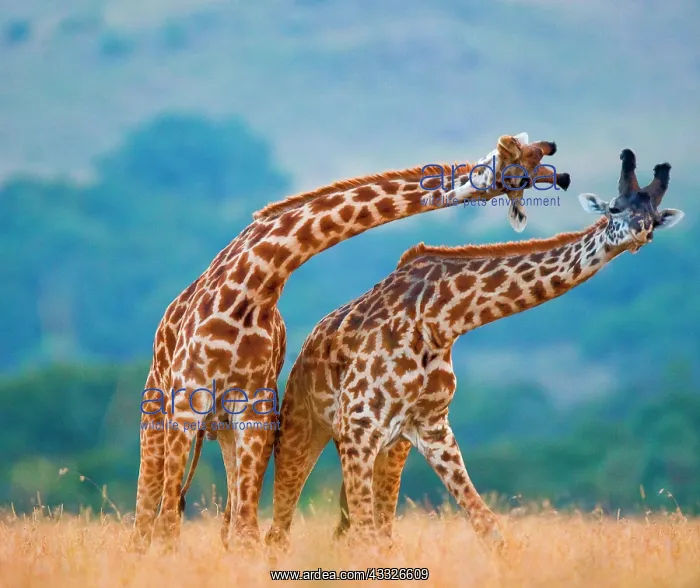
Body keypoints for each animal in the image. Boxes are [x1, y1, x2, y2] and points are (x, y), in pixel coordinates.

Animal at [128, 133, 570, 554]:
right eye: (523, 166)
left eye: (541, 159)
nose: (562, 177)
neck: (255, 284)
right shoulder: (187, 402)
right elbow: (169, 524)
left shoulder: (253, 410)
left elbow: (246, 529)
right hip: (158, 410)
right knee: (147, 514)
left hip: (223, 429)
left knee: (223, 518)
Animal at [263, 149, 684, 552]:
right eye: (614, 209)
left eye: (654, 218)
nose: (639, 233)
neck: (441, 320)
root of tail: (307, 346)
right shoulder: (358, 425)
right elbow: (367, 535)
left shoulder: (431, 427)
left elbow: (488, 527)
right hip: (306, 428)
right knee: (283, 529)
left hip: (389, 448)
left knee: (357, 529)